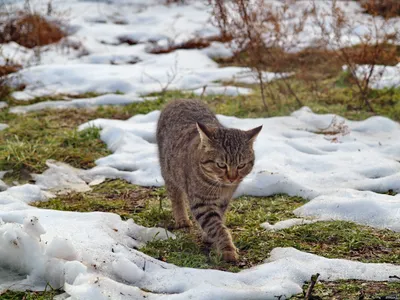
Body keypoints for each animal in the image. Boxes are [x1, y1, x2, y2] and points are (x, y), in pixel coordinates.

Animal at [156, 99, 262, 262]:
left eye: (241, 165)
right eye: (221, 165)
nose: (232, 178)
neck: (221, 187)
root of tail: (180, 99)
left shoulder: (223, 201)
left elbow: (218, 220)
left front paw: (208, 236)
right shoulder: (201, 202)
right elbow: (217, 227)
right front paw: (227, 249)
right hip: (169, 173)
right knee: (176, 197)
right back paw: (182, 219)